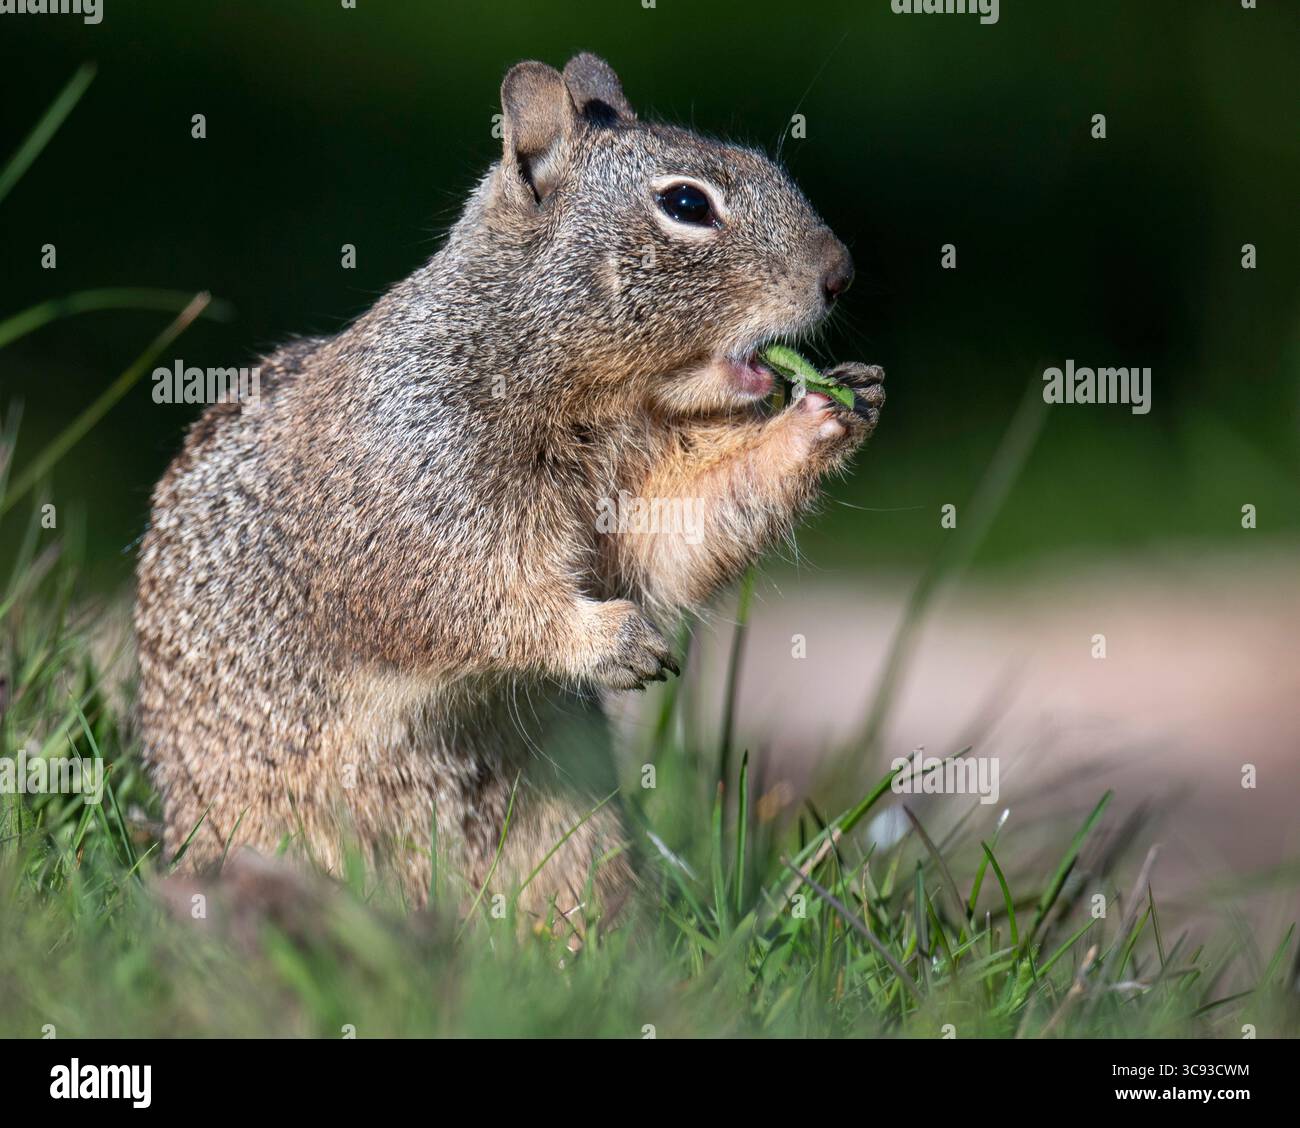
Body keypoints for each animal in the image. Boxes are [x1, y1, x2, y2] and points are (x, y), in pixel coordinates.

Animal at [134, 53, 884, 934]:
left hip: (576, 831)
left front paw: (830, 410)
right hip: (273, 823)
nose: (840, 274)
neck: (590, 398)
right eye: (687, 204)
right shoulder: (414, 491)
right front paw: (610, 642)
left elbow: (678, 534)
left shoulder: (641, 488)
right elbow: (468, 600)